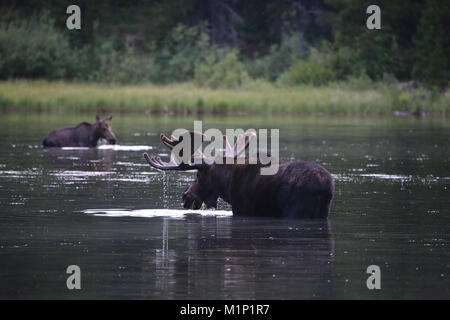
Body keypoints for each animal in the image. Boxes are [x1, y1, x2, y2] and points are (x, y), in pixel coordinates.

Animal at [144, 131, 334, 219]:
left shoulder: (242, 209)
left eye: (198, 175)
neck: (225, 187)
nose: (186, 196)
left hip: (295, 211)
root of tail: (326, 188)